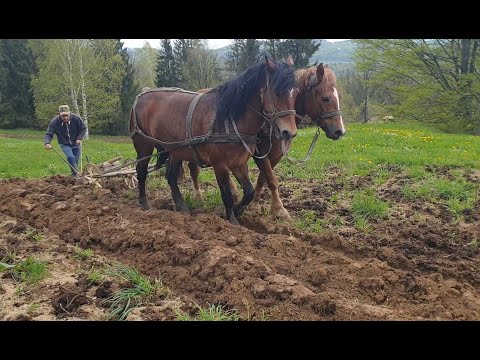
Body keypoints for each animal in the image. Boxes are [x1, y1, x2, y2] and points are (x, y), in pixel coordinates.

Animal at [129, 54, 298, 224]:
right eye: (277, 92)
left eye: (296, 92)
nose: (289, 132)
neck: (228, 119)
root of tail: (141, 95)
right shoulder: (220, 165)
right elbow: (226, 195)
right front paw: (232, 220)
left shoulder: (239, 162)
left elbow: (248, 191)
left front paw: (237, 210)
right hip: (144, 145)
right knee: (141, 172)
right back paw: (144, 203)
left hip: (175, 151)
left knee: (170, 176)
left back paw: (181, 206)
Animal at [187, 63, 344, 218]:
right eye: (325, 98)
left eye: (339, 97)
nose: (340, 131)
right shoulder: (259, 152)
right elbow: (271, 179)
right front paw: (279, 209)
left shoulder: (276, 154)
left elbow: (263, 177)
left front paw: (255, 204)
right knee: (194, 168)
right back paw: (199, 196)